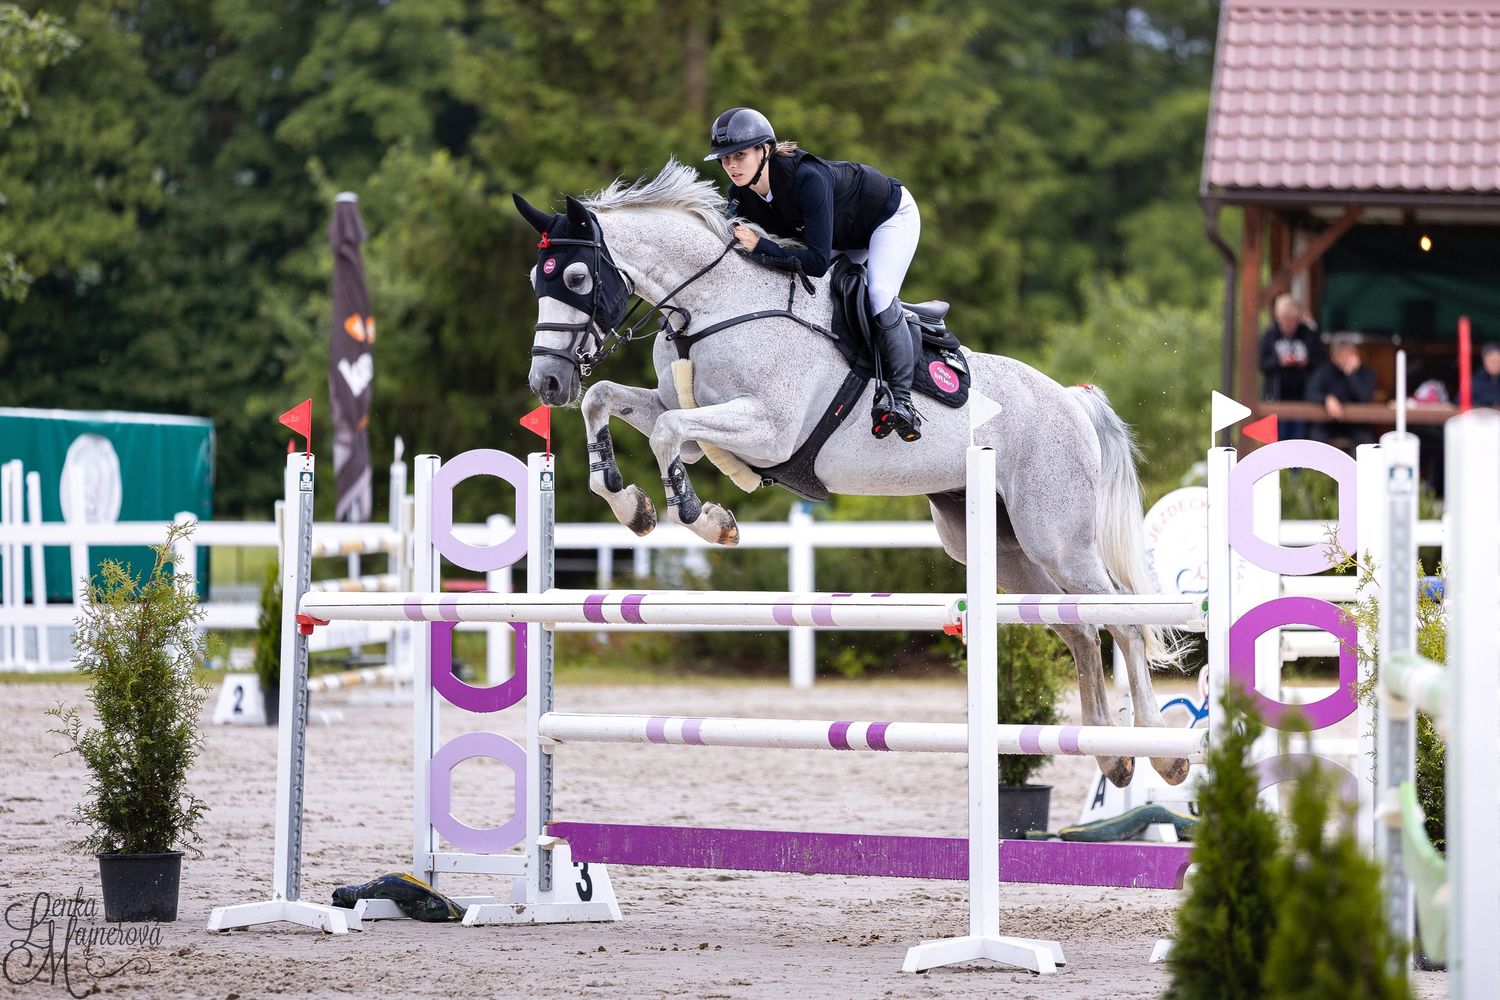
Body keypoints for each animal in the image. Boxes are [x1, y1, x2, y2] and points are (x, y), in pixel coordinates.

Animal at [513, 159, 1187, 788]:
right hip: (998, 547)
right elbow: (607, 402)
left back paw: (1162, 753)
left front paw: (705, 518)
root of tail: (1071, 400)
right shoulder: (683, 411)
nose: (546, 383)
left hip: (1058, 537)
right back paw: (1111, 755)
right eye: (534, 280)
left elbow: (667, 434)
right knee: (1078, 627)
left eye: (575, 277)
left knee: (1124, 619)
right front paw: (630, 503)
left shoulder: (767, 429)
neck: (714, 306)